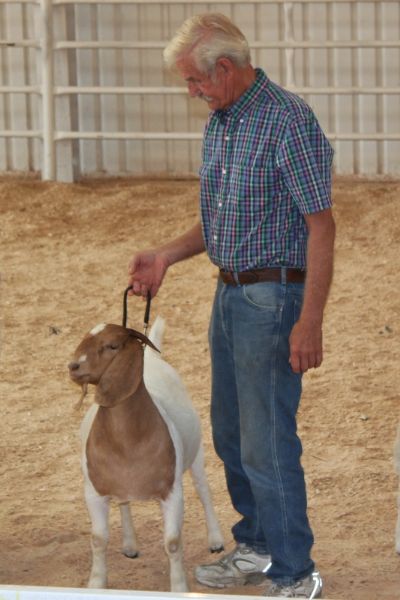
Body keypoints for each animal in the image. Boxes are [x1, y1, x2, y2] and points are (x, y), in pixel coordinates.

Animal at [69, 316, 225, 592]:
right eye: (84, 338)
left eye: (112, 345)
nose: (73, 366)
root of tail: (153, 359)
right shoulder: (94, 491)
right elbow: (98, 539)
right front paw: (96, 584)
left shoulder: (172, 492)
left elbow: (173, 542)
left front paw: (179, 588)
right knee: (124, 503)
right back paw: (130, 544)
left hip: (196, 455)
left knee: (204, 492)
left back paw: (215, 540)